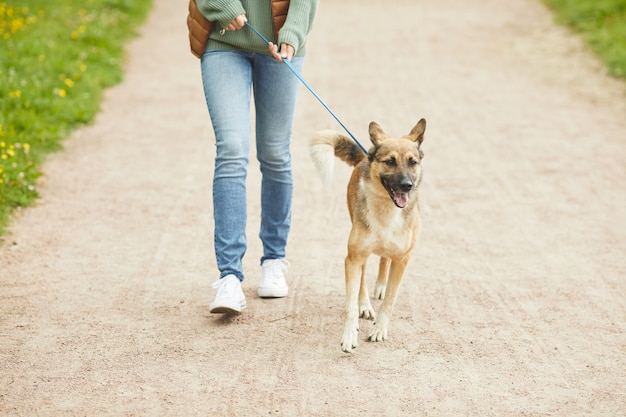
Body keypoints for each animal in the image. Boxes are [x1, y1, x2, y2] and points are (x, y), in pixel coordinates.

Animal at [308, 119, 424, 352]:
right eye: (390, 161)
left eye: (412, 162)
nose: (407, 186)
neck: (387, 209)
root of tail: (365, 155)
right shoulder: (353, 258)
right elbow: (351, 303)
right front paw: (350, 335)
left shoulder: (402, 259)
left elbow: (389, 300)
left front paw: (379, 329)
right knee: (363, 277)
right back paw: (365, 305)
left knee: (384, 259)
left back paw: (380, 286)